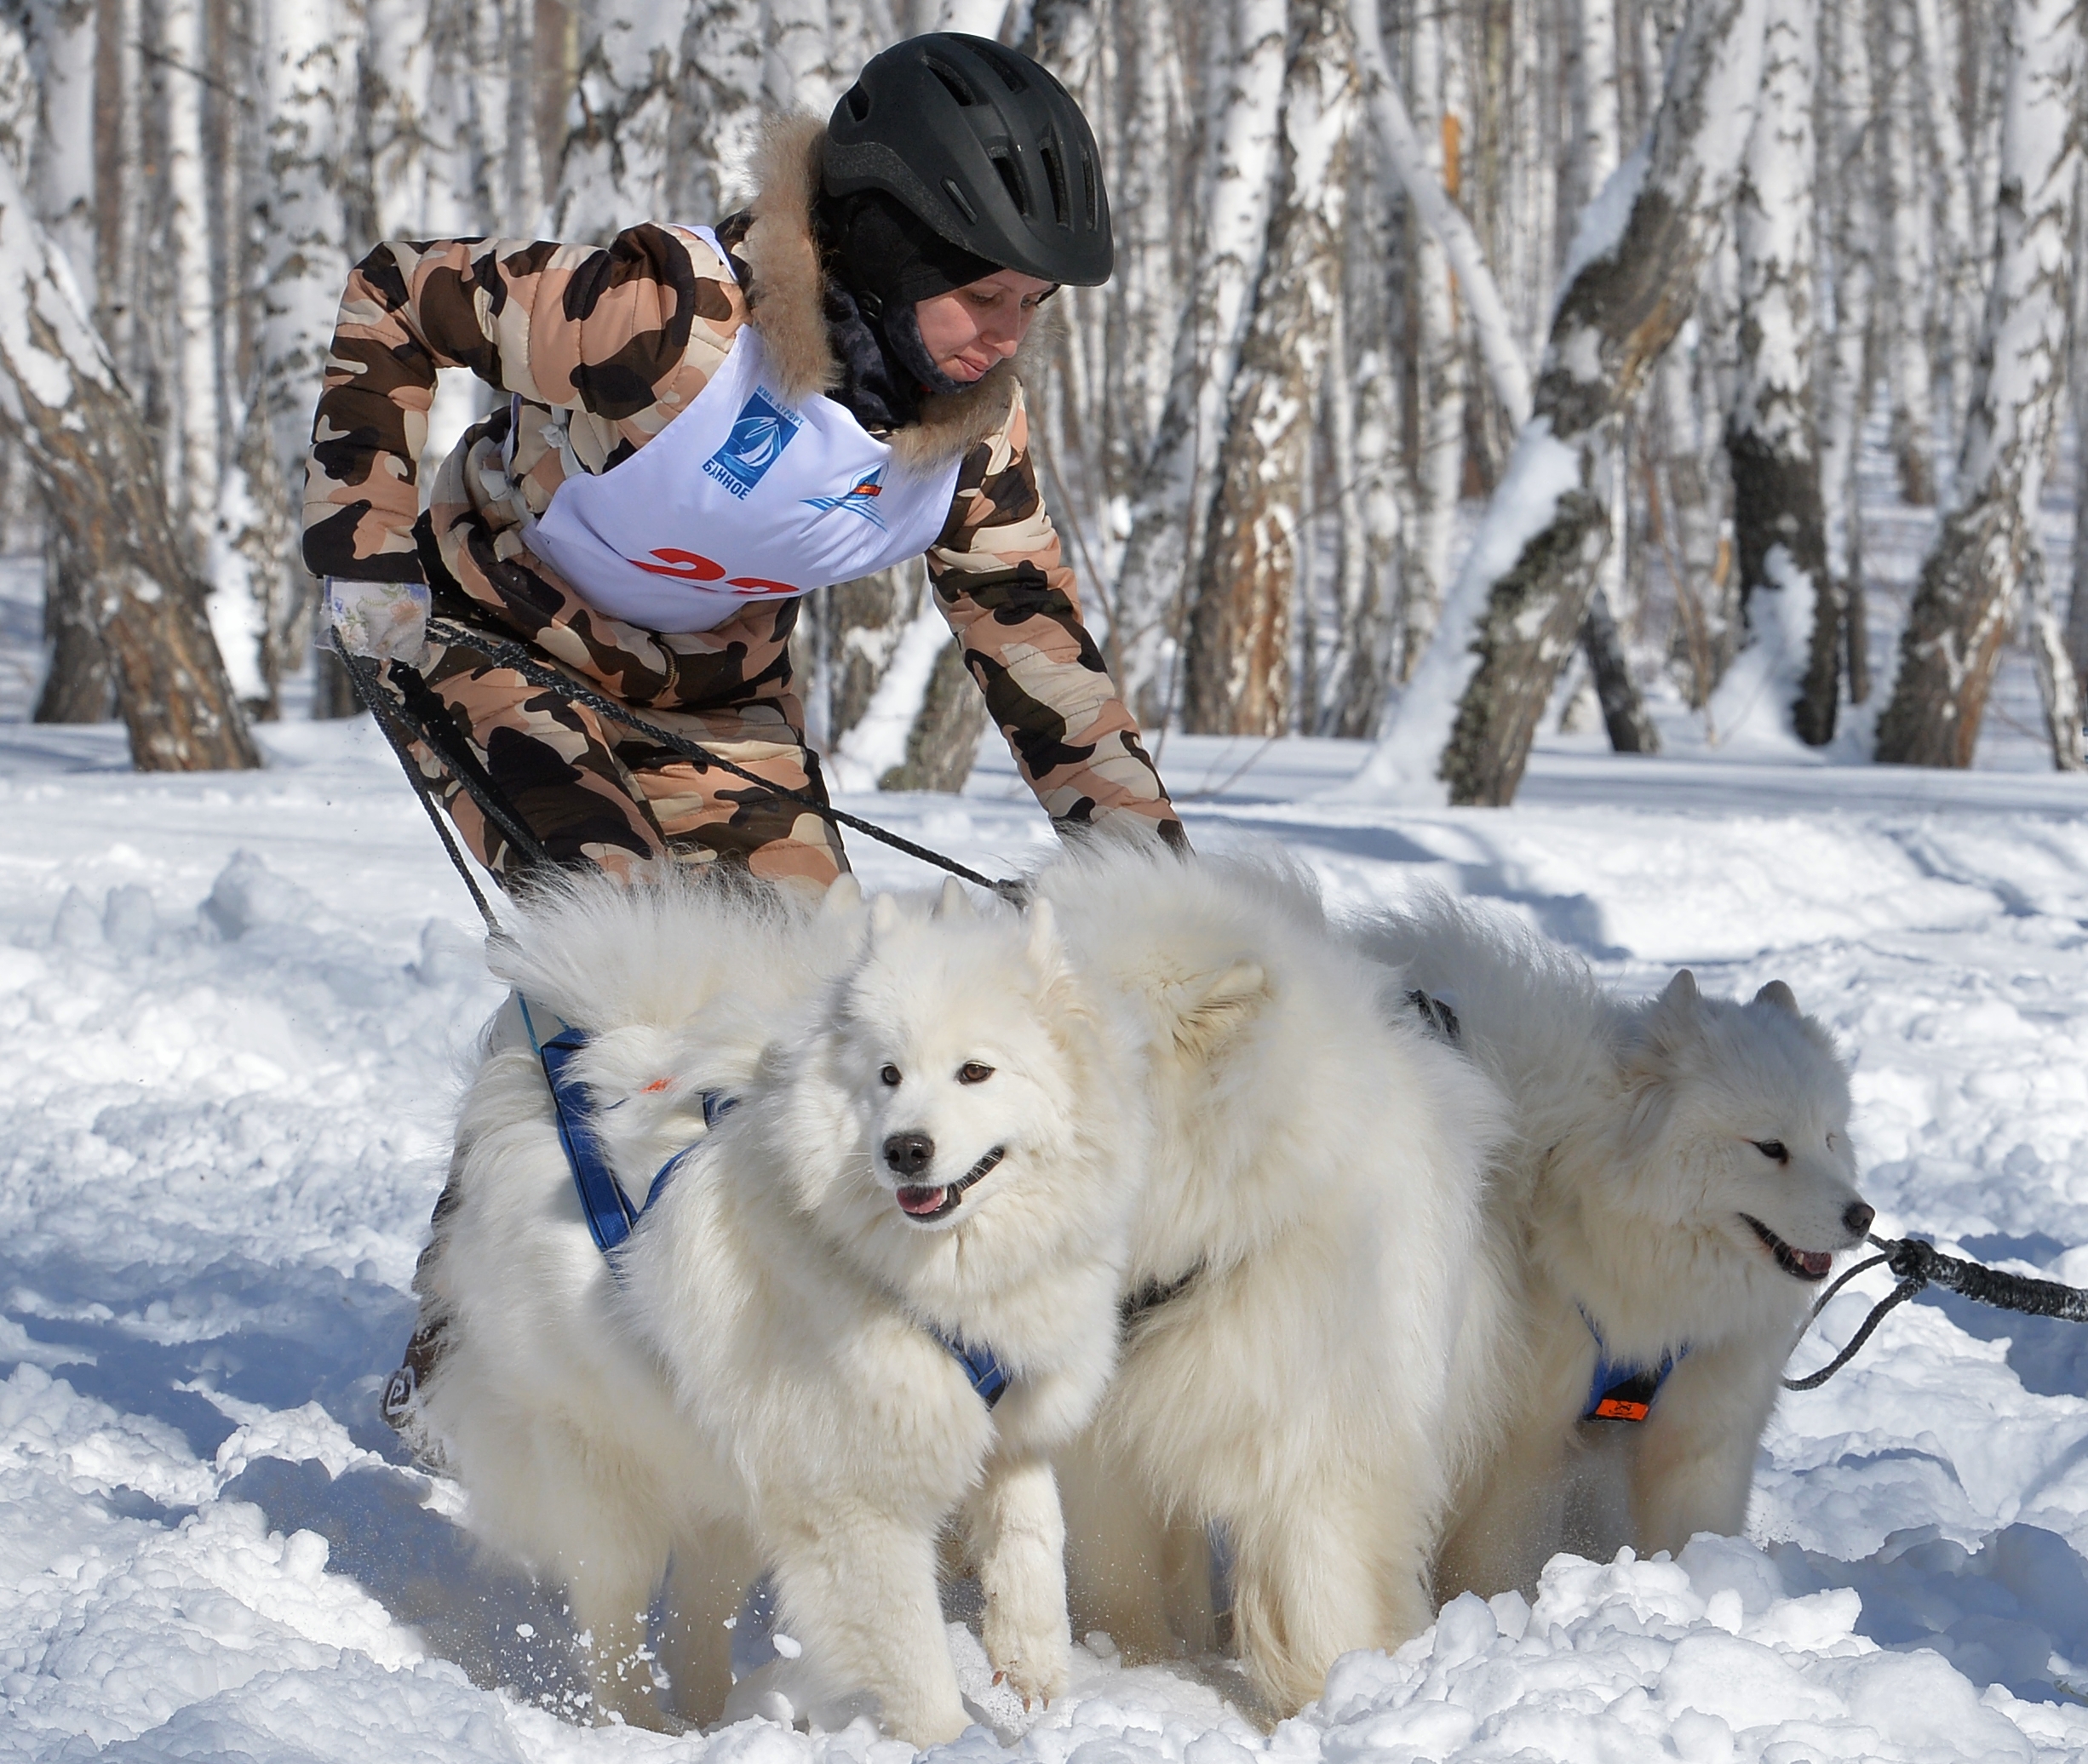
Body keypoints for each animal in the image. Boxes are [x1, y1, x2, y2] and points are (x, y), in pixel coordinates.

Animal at [399, 868, 1152, 1737]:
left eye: (975, 1072)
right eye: (888, 1075)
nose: (905, 1150)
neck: (916, 1276)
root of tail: (544, 1098)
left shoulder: (1009, 1421)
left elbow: (1035, 1532)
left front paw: (1032, 1658)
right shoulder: (858, 1507)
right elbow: (915, 1659)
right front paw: (951, 1743)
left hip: (722, 1483)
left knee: (695, 1617)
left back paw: (710, 1722)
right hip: (603, 1477)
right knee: (612, 1629)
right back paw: (645, 1730)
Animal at [1035, 847, 1512, 1711]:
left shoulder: (1325, 1441)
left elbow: (1323, 1587)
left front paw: (1338, 1695)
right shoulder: (1108, 1452)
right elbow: (1121, 1572)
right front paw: (1135, 1665)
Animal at [1352, 893, 1879, 1595]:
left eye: (1828, 1138)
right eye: (1770, 1147)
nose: (1862, 1216)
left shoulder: (1700, 1436)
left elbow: (1694, 1533)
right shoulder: (1526, 1444)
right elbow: (1500, 1559)